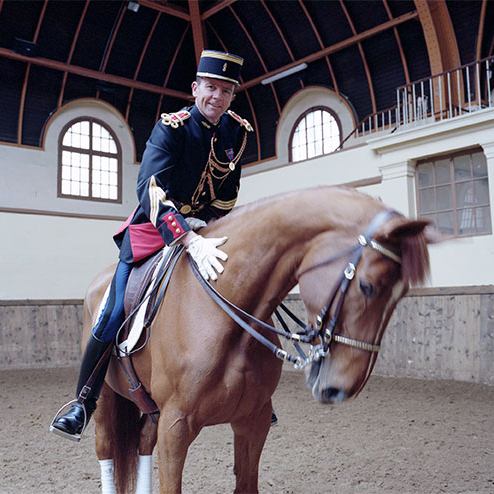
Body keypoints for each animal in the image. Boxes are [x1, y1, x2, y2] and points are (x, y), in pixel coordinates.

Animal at [86, 186, 432, 494]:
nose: (340, 389)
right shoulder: (175, 426)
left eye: (402, 293)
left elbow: (246, 484)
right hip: (106, 397)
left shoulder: (253, 420)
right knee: (105, 446)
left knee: (143, 440)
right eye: (368, 286)